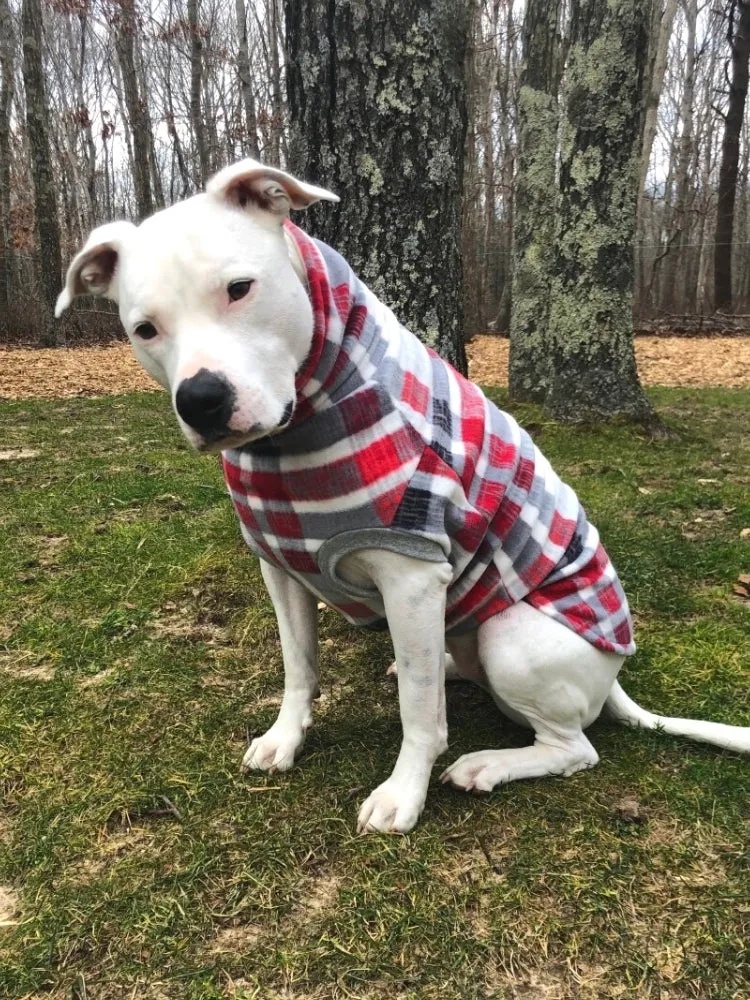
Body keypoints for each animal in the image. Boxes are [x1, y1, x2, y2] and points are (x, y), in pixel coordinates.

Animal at [58, 160, 750, 832]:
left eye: (239, 288)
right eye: (145, 329)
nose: (200, 399)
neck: (291, 441)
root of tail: (615, 675)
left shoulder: (411, 576)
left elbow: (418, 713)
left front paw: (403, 794)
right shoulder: (280, 568)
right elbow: (298, 666)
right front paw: (285, 738)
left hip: (512, 636)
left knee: (574, 746)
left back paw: (487, 763)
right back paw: (446, 668)